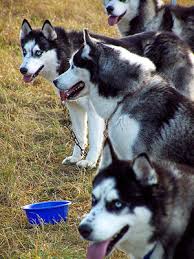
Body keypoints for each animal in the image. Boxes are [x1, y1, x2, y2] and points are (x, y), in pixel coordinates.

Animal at [19, 19, 105, 169]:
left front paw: (90, 161)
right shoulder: (74, 107)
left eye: (38, 52)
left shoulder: (94, 111)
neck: (67, 56)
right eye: (24, 52)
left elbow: (94, 138)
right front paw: (76, 157)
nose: (22, 70)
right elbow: (79, 136)